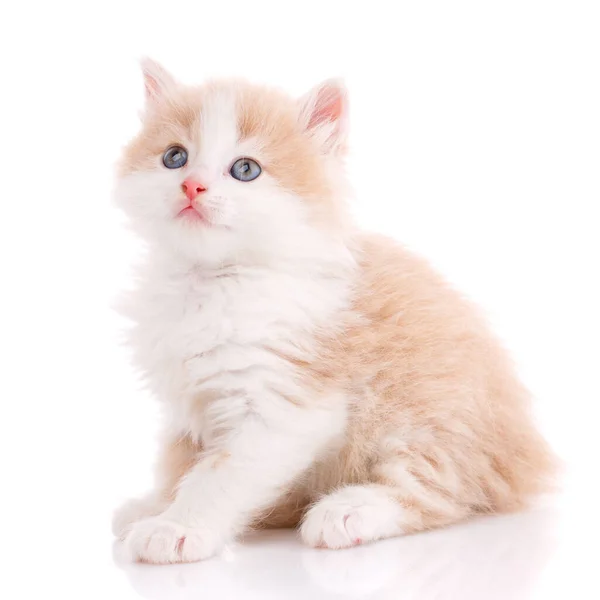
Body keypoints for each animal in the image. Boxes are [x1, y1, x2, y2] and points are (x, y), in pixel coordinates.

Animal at [113, 58, 556, 564]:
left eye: (245, 169)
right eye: (174, 157)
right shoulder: (186, 407)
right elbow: (178, 464)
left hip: (433, 417)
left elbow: (219, 474)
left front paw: (177, 527)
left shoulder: (287, 404)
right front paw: (156, 505)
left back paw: (346, 512)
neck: (214, 282)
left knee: (438, 491)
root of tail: (529, 451)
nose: (192, 185)